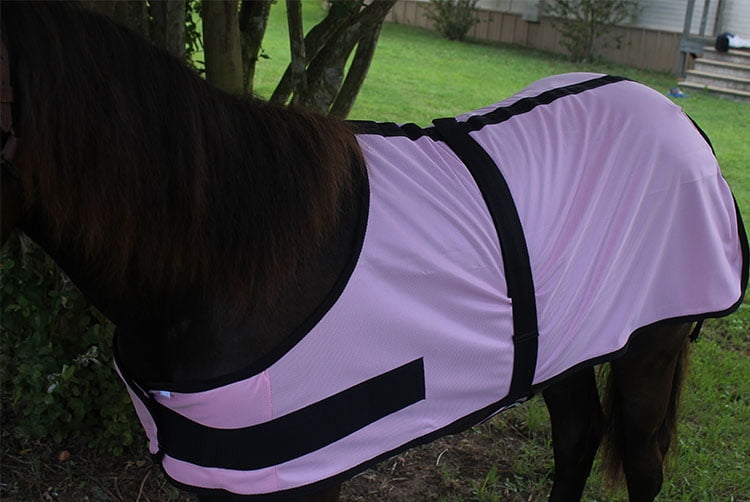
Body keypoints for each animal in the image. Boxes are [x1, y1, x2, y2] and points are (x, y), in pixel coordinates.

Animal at [1, 3, 747, 502]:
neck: (228, 260)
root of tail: (680, 117)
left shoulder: (309, 477)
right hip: (573, 343)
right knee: (578, 438)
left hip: (651, 345)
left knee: (643, 463)